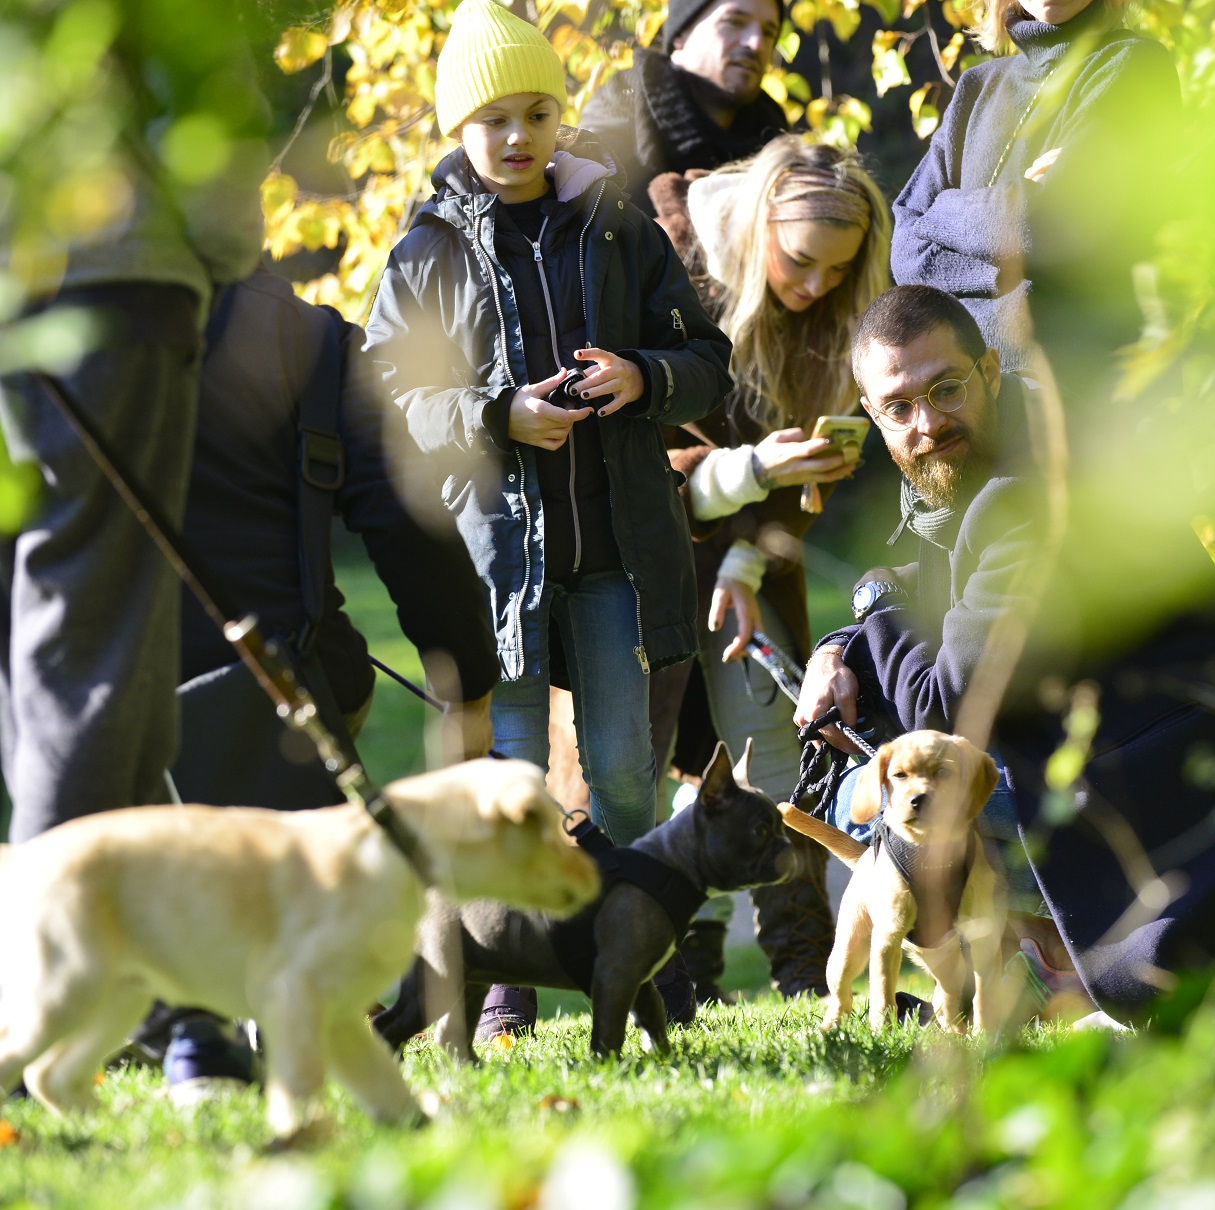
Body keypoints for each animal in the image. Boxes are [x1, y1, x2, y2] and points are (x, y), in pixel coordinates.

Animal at [0, 762, 597, 1137]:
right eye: (549, 832)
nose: (595, 877)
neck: (397, 850)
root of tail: (21, 859)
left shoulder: (338, 1017)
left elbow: (385, 1085)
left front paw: (423, 1133)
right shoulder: (291, 997)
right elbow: (303, 1083)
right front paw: (304, 1148)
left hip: (120, 994)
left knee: (50, 1073)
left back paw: (115, 1126)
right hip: (65, 989)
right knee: (21, 1060)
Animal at [777, 733, 1006, 1035]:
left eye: (944, 772)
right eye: (899, 775)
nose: (918, 800)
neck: (929, 850)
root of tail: (863, 857)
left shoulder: (982, 933)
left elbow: (984, 992)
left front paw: (985, 1035)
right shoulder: (889, 933)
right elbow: (883, 993)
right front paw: (882, 1034)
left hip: (947, 961)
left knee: (945, 1000)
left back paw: (955, 1033)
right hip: (848, 951)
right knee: (842, 997)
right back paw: (829, 1028)